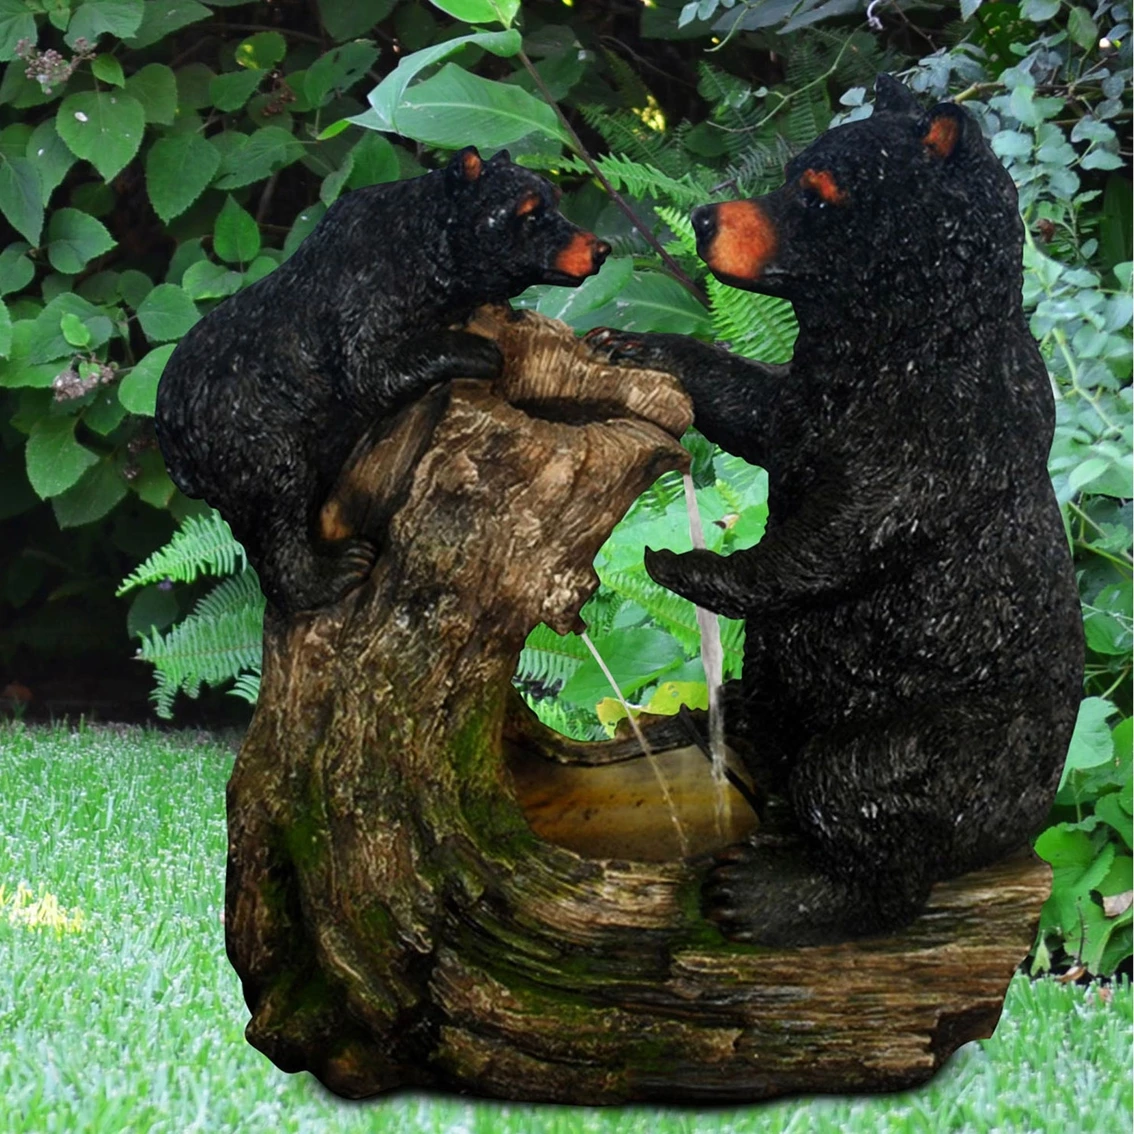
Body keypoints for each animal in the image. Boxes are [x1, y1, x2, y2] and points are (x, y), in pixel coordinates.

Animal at [155, 147, 610, 615]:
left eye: (554, 199)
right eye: (530, 213)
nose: (600, 248)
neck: (426, 255)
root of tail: (171, 441)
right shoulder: (363, 295)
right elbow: (367, 374)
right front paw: (474, 350)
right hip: (252, 439)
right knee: (278, 514)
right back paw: (335, 571)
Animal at [586, 74, 1084, 945]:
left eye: (817, 192)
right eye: (791, 174)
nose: (707, 218)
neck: (882, 345)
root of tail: (1024, 826)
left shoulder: (943, 430)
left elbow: (845, 535)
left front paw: (686, 561)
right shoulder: (812, 401)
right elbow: (753, 406)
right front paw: (634, 345)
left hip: (947, 741)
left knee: (861, 794)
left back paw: (768, 892)